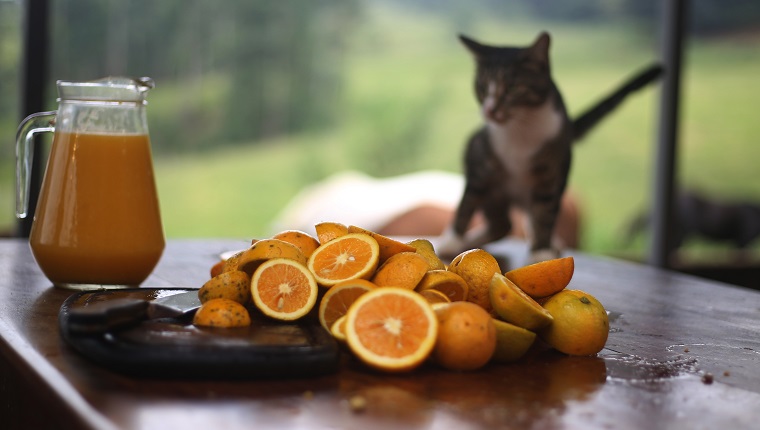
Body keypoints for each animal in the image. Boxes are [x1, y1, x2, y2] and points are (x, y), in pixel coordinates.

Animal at [436, 31, 664, 260]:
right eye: (482, 87)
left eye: (512, 88)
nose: (489, 110)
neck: (520, 129)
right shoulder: (479, 160)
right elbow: (467, 202)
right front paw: (452, 240)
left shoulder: (552, 171)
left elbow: (546, 213)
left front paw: (541, 251)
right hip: (493, 186)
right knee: (502, 223)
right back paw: (469, 243)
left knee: (519, 220)